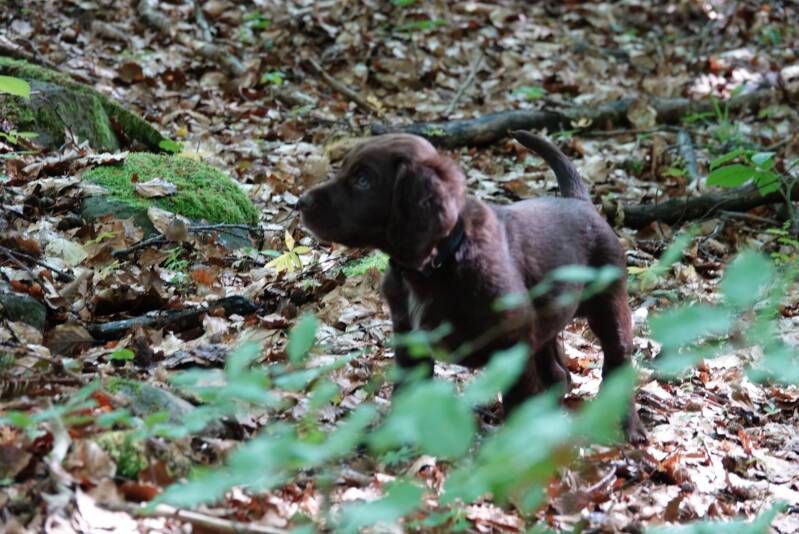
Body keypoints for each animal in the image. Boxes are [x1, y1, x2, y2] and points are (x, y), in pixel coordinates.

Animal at [298, 131, 645, 443]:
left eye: (363, 180)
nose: (300, 202)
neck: (437, 265)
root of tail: (580, 202)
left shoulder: (511, 345)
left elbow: (518, 400)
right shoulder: (410, 339)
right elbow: (407, 393)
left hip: (609, 305)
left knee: (617, 364)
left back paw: (629, 428)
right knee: (558, 373)